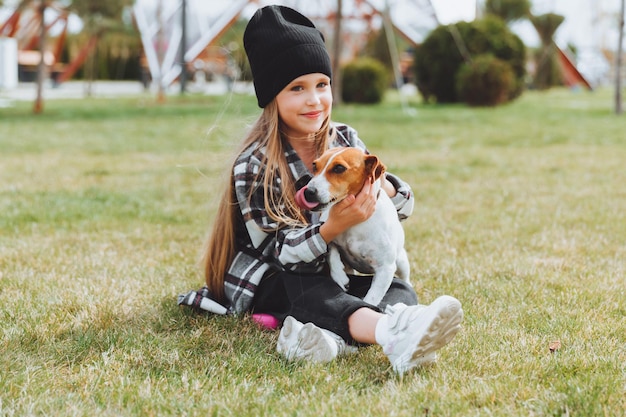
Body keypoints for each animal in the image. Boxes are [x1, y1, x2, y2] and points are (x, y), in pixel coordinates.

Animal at [296, 148, 412, 304]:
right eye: (315, 166)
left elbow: (371, 299)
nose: (308, 192)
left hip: (401, 262)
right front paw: (340, 277)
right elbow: (331, 252)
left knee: (406, 280)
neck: (355, 223)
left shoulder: (385, 268)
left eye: (339, 168)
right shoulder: (328, 233)